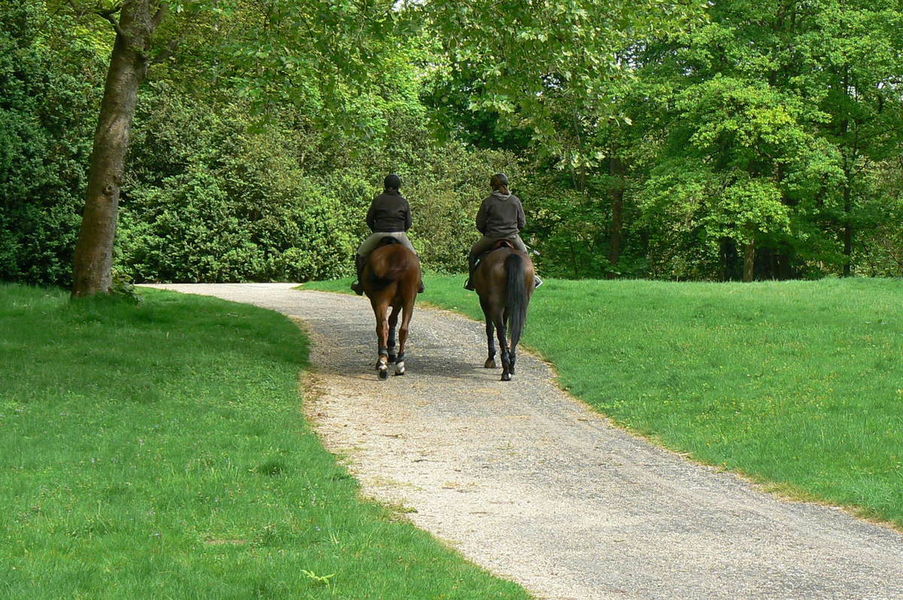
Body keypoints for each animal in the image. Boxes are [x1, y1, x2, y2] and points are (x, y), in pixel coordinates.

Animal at [362, 237, 422, 378]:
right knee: (403, 329)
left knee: (382, 327)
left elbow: (388, 323)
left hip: (380, 299)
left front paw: (387, 355)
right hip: (409, 300)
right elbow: (393, 321)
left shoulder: (375, 301)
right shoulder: (399, 303)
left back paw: (382, 363)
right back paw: (400, 364)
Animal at [474, 243, 536, 380]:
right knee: (515, 331)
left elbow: (490, 328)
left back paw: (505, 370)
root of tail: (510, 256)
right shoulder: (508, 306)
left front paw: (491, 358)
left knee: (500, 331)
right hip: (521, 303)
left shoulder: (483, 301)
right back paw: (511, 365)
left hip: (495, 304)